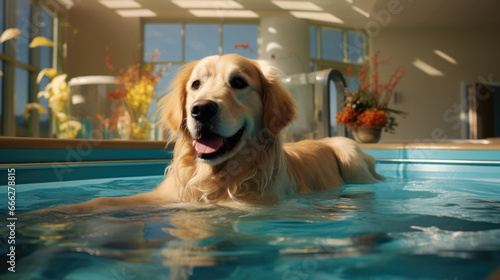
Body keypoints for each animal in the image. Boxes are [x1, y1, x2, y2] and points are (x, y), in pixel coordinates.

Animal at [47, 54, 382, 212]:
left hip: (349, 155)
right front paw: (56, 212)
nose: (201, 110)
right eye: (196, 84)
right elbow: (101, 201)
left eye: (239, 83)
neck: (213, 176)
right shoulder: (170, 195)